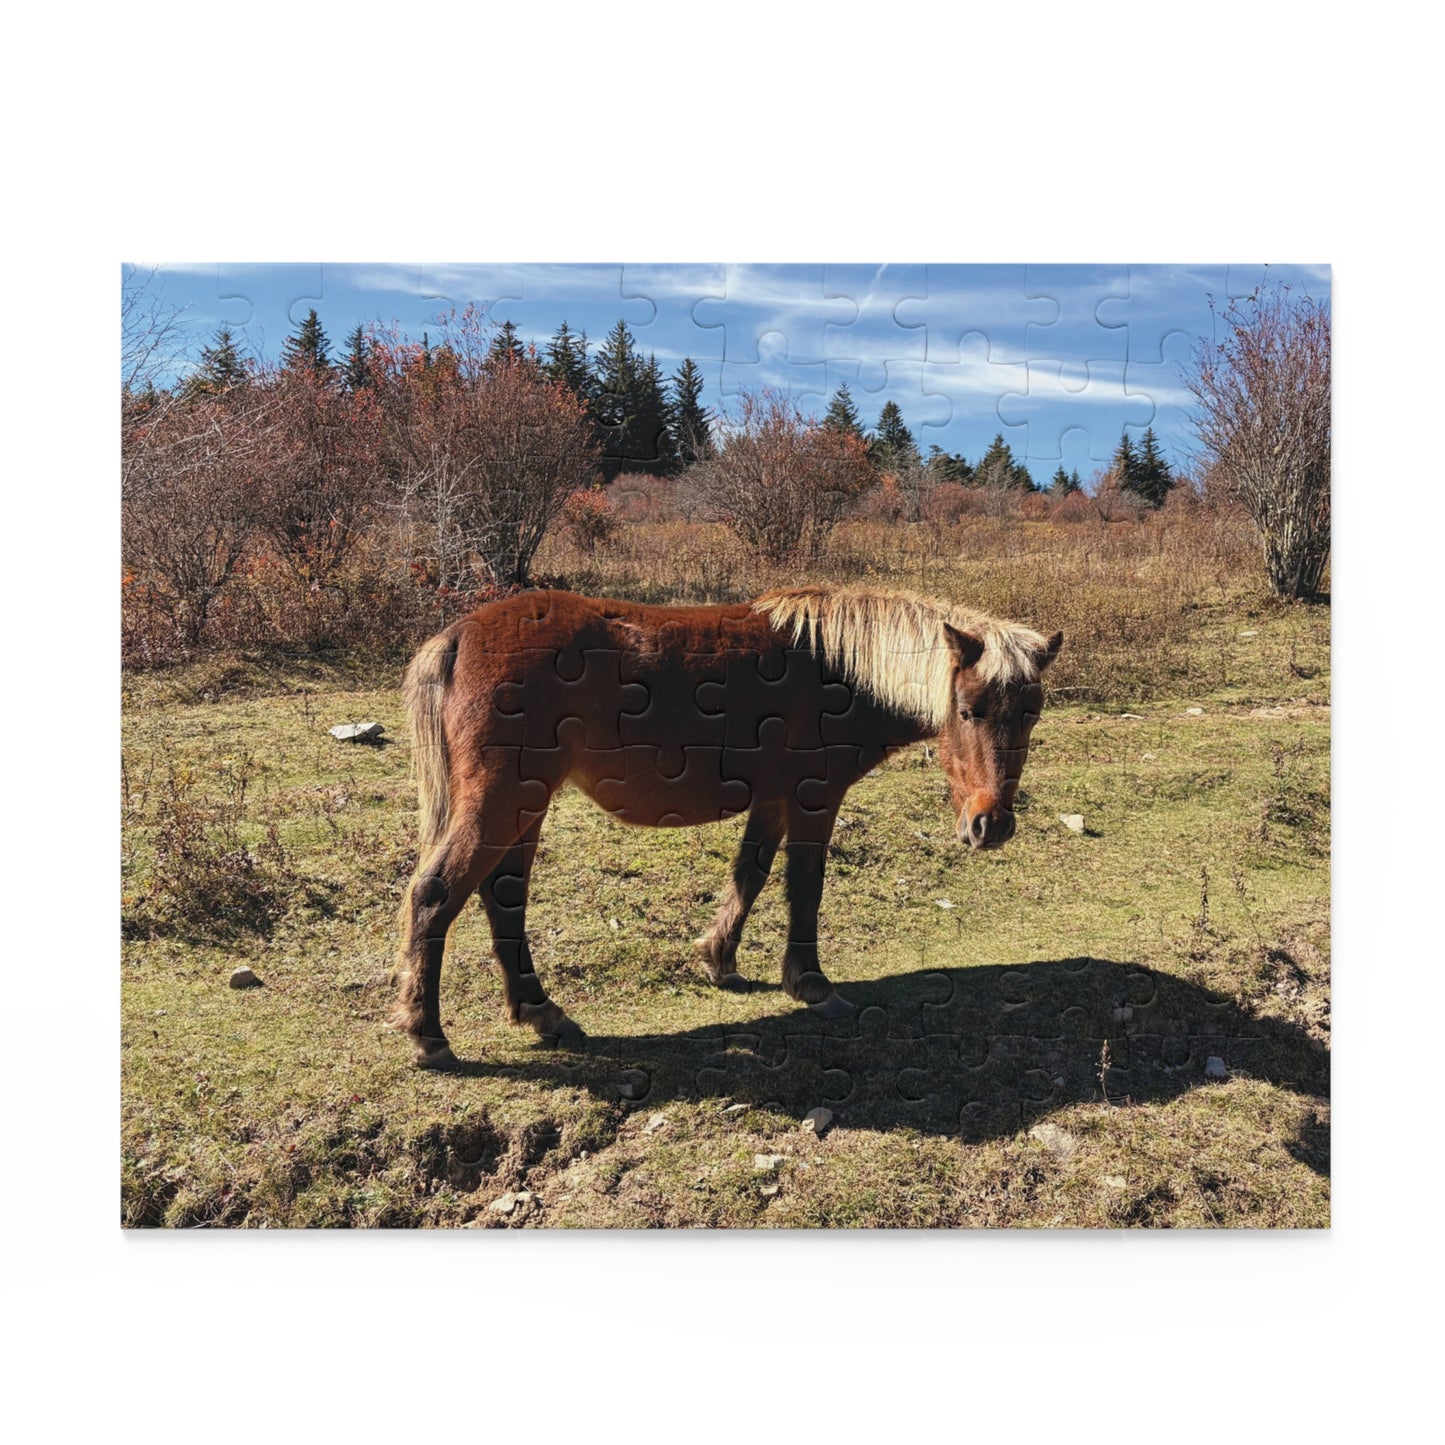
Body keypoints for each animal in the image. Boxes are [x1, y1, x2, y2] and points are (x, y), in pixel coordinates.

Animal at [391, 585, 1062, 1069]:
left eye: (1031, 714)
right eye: (968, 711)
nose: (990, 825)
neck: (840, 670)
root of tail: (457, 637)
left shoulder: (772, 801)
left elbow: (750, 875)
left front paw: (719, 959)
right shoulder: (814, 799)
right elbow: (804, 889)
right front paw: (812, 984)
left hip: (523, 809)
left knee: (502, 899)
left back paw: (541, 1013)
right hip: (506, 803)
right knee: (437, 894)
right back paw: (428, 1036)